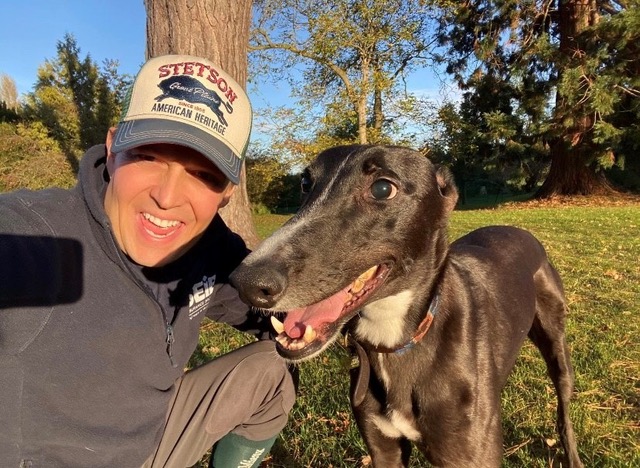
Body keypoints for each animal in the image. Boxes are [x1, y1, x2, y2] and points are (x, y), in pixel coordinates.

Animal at [231, 144, 584, 466]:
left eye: (382, 188)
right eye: (306, 183)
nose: (246, 283)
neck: (395, 339)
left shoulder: (469, 456)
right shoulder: (384, 447)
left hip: (557, 346)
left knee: (564, 411)